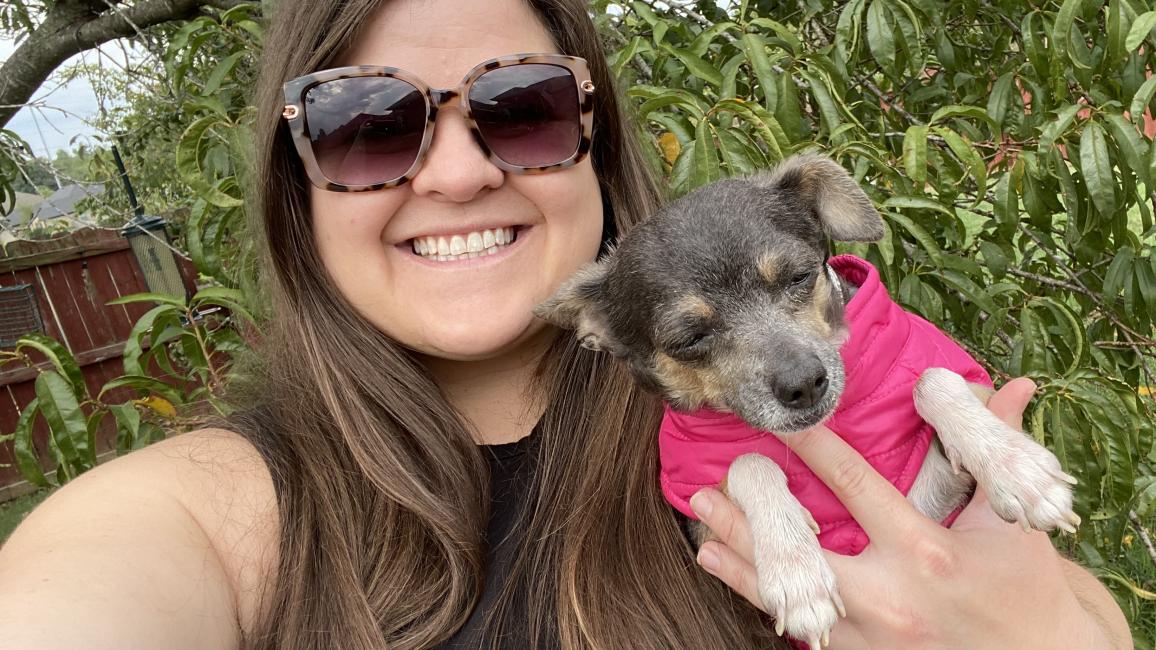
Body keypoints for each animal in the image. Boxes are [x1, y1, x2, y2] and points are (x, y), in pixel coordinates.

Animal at [536, 153, 1077, 643]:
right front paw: (794, 569)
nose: (804, 382)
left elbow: (933, 379)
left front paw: (1016, 468)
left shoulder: (960, 446)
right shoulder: (704, 523)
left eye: (798, 277)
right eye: (690, 338)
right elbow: (749, 462)